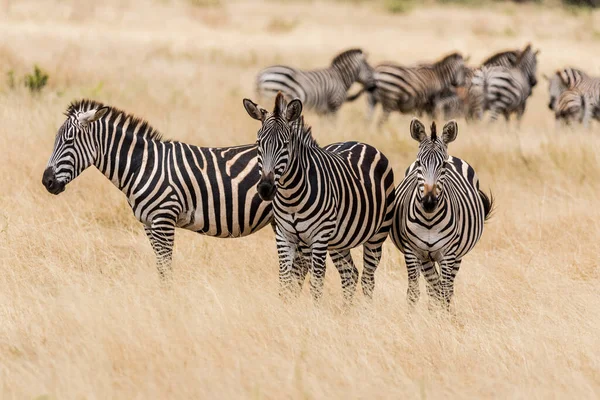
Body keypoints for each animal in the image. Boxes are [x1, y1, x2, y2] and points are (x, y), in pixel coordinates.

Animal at [42, 99, 314, 280]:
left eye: (68, 141)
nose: (47, 182)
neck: (143, 165)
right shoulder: (149, 223)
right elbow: (160, 266)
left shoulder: (164, 218)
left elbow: (165, 267)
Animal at [241, 92, 396, 302]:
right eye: (258, 143)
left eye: (285, 145)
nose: (265, 188)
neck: (290, 198)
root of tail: (362, 143)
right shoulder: (284, 235)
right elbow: (285, 282)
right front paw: (284, 307)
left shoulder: (319, 237)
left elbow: (316, 283)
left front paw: (315, 311)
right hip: (340, 241)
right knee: (350, 274)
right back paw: (346, 311)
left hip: (377, 235)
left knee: (367, 279)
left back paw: (365, 309)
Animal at [392, 119, 494, 310]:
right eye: (419, 163)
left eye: (444, 165)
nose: (429, 203)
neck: (429, 220)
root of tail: (453, 156)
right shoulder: (412, 251)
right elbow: (415, 293)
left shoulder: (448, 253)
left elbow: (444, 292)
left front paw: (442, 317)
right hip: (426, 258)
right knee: (433, 287)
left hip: (457, 255)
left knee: (445, 289)